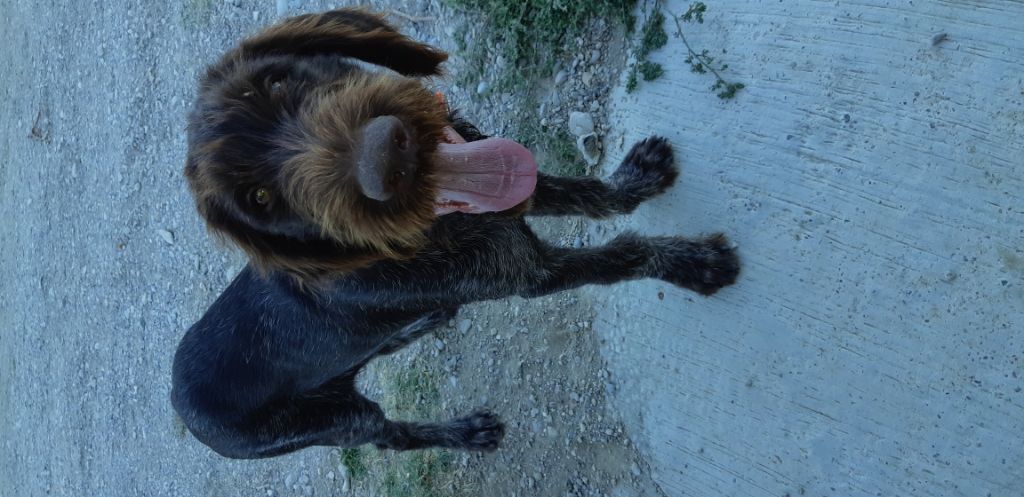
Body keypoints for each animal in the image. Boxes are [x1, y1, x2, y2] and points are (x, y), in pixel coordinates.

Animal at [172, 6, 741, 457]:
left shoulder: (510, 190)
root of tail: (179, 403)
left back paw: (425, 322)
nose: (387, 156)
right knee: (390, 436)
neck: (426, 231)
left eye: (276, 82)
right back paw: (464, 434)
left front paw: (637, 180)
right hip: (334, 423)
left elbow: (588, 194)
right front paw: (695, 264)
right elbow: (623, 256)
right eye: (260, 199)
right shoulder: (531, 275)